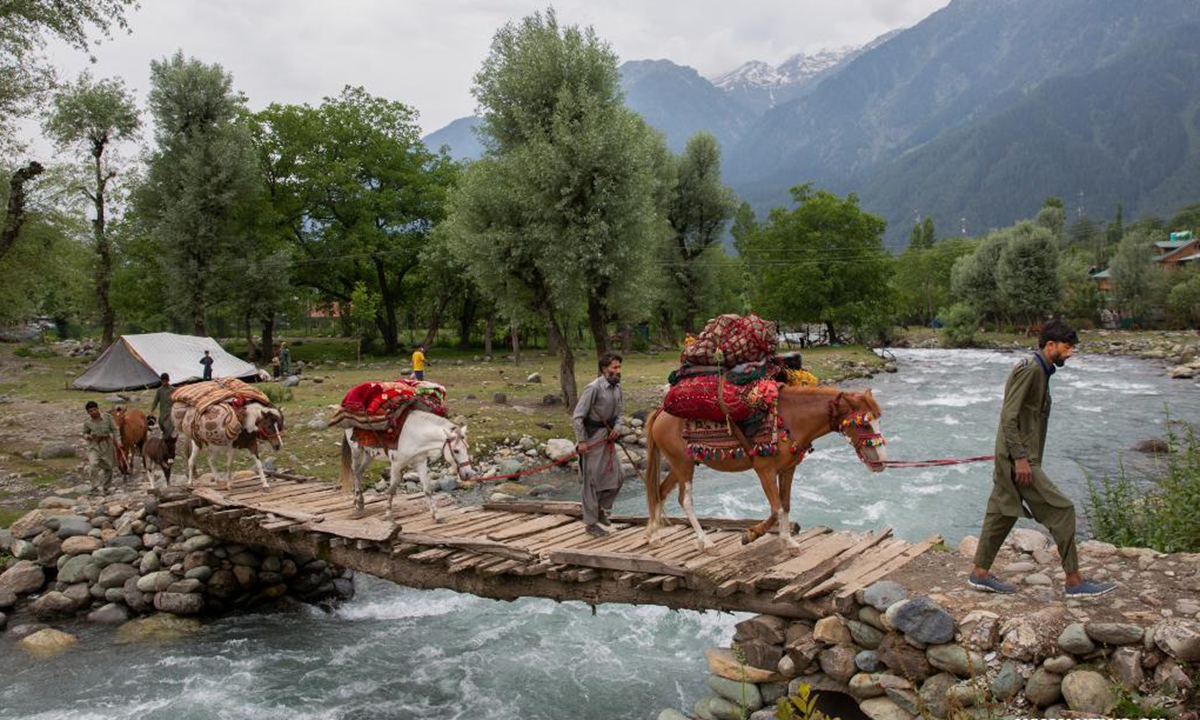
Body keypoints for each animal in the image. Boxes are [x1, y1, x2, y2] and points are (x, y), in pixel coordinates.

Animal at [340, 410, 475, 523]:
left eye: (467, 448)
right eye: (456, 450)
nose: (468, 474)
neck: (415, 435)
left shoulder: (420, 463)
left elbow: (427, 489)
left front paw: (436, 515)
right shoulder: (396, 465)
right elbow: (392, 489)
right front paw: (388, 514)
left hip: (369, 454)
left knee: (359, 472)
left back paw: (360, 502)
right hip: (356, 451)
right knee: (355, 471)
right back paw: (358, 503)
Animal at [648, 388, 892, 552]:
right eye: (864, 423)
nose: (881, 461)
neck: (790, 419)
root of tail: (661, 412)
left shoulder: (788, 469)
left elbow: (785, 505)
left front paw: (788, 541)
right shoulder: (764, 470)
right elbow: (776, 508)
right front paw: (751, 535)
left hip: (679, 465)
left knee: (660, 491)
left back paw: (654, 536)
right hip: (683, 465)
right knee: (685, 500)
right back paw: (705, 541)